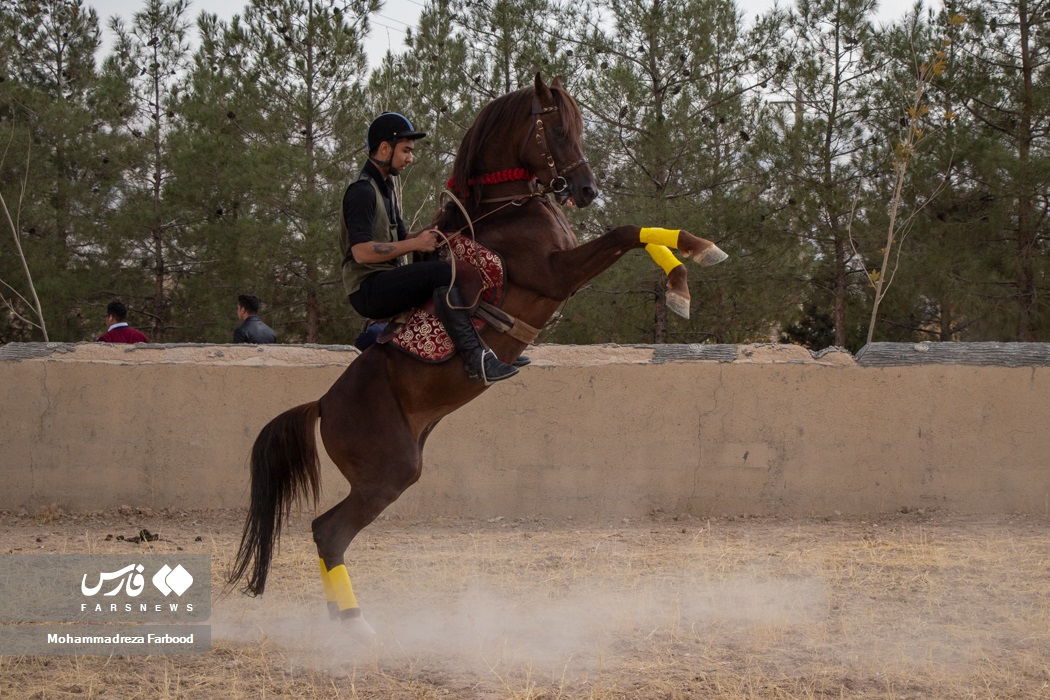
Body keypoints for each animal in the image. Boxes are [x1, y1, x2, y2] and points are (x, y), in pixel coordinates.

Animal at [226, 73, 726, 633]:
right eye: (556, 128)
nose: (586, 191)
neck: (510, 209)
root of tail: (322, 405)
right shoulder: (557, 272)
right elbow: (626, 233)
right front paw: (683, 280)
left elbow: (640, 233)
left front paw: (696, 256)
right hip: (388, 473)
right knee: (329, 531)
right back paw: (357, 627)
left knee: (325, 531)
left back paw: (345, 621)